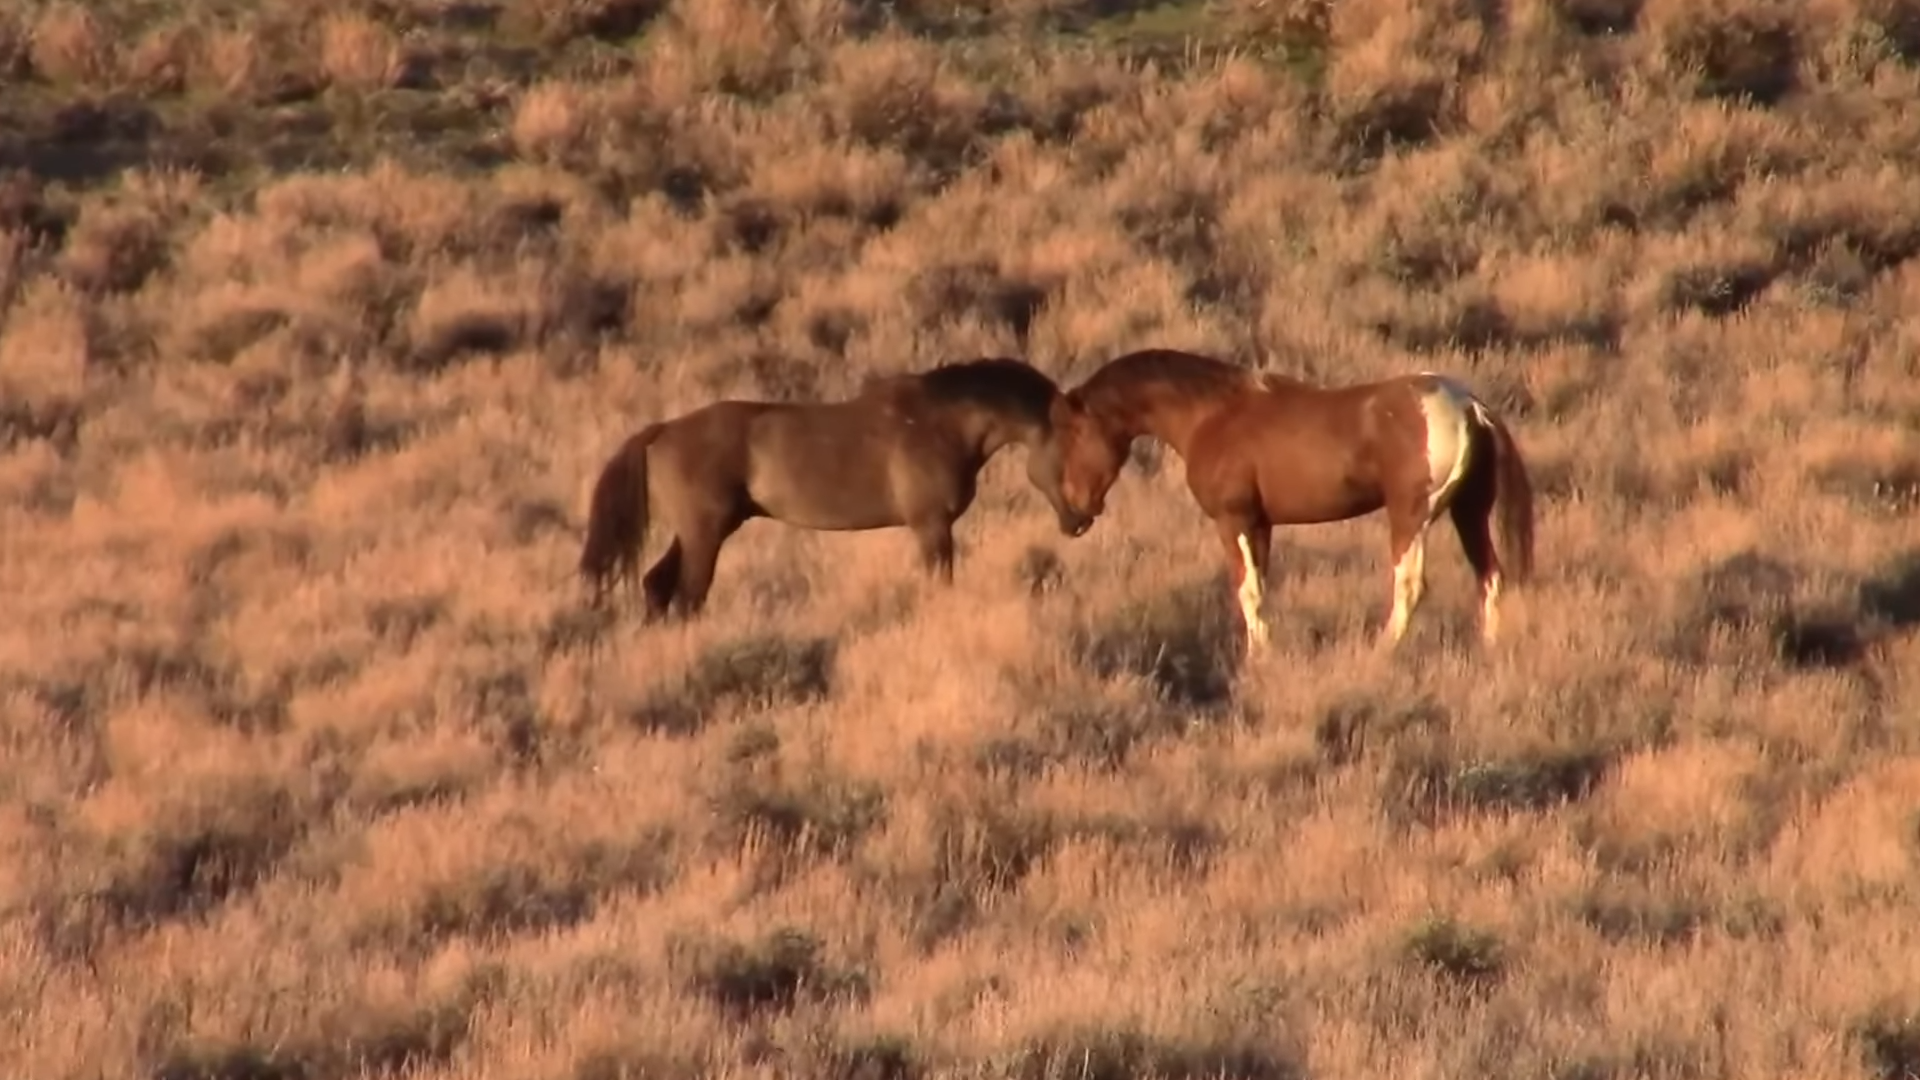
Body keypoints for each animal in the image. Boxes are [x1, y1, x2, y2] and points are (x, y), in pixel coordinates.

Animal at [572, 357, 1098, 618]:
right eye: (1075, 448)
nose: (1081, 519)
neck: (943, 420)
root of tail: (661, 431)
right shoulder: (931, 527)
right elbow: (939, 580)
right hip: (704, 536)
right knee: (686, 597)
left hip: (697, 534)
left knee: (657, 588)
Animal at [1044, 349, 1536, 653]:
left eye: (1074, 435)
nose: (1072, 516)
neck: (1211, 415)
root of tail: (1471, 406)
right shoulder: (1261, 524)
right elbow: (1259, 589)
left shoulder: (1234, 520)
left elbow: (1247, 591)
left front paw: (1260, 657)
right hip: (1468, 512)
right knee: (1490, 577)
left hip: (1410, 516)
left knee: (1410, 585)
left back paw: (1381, 650)